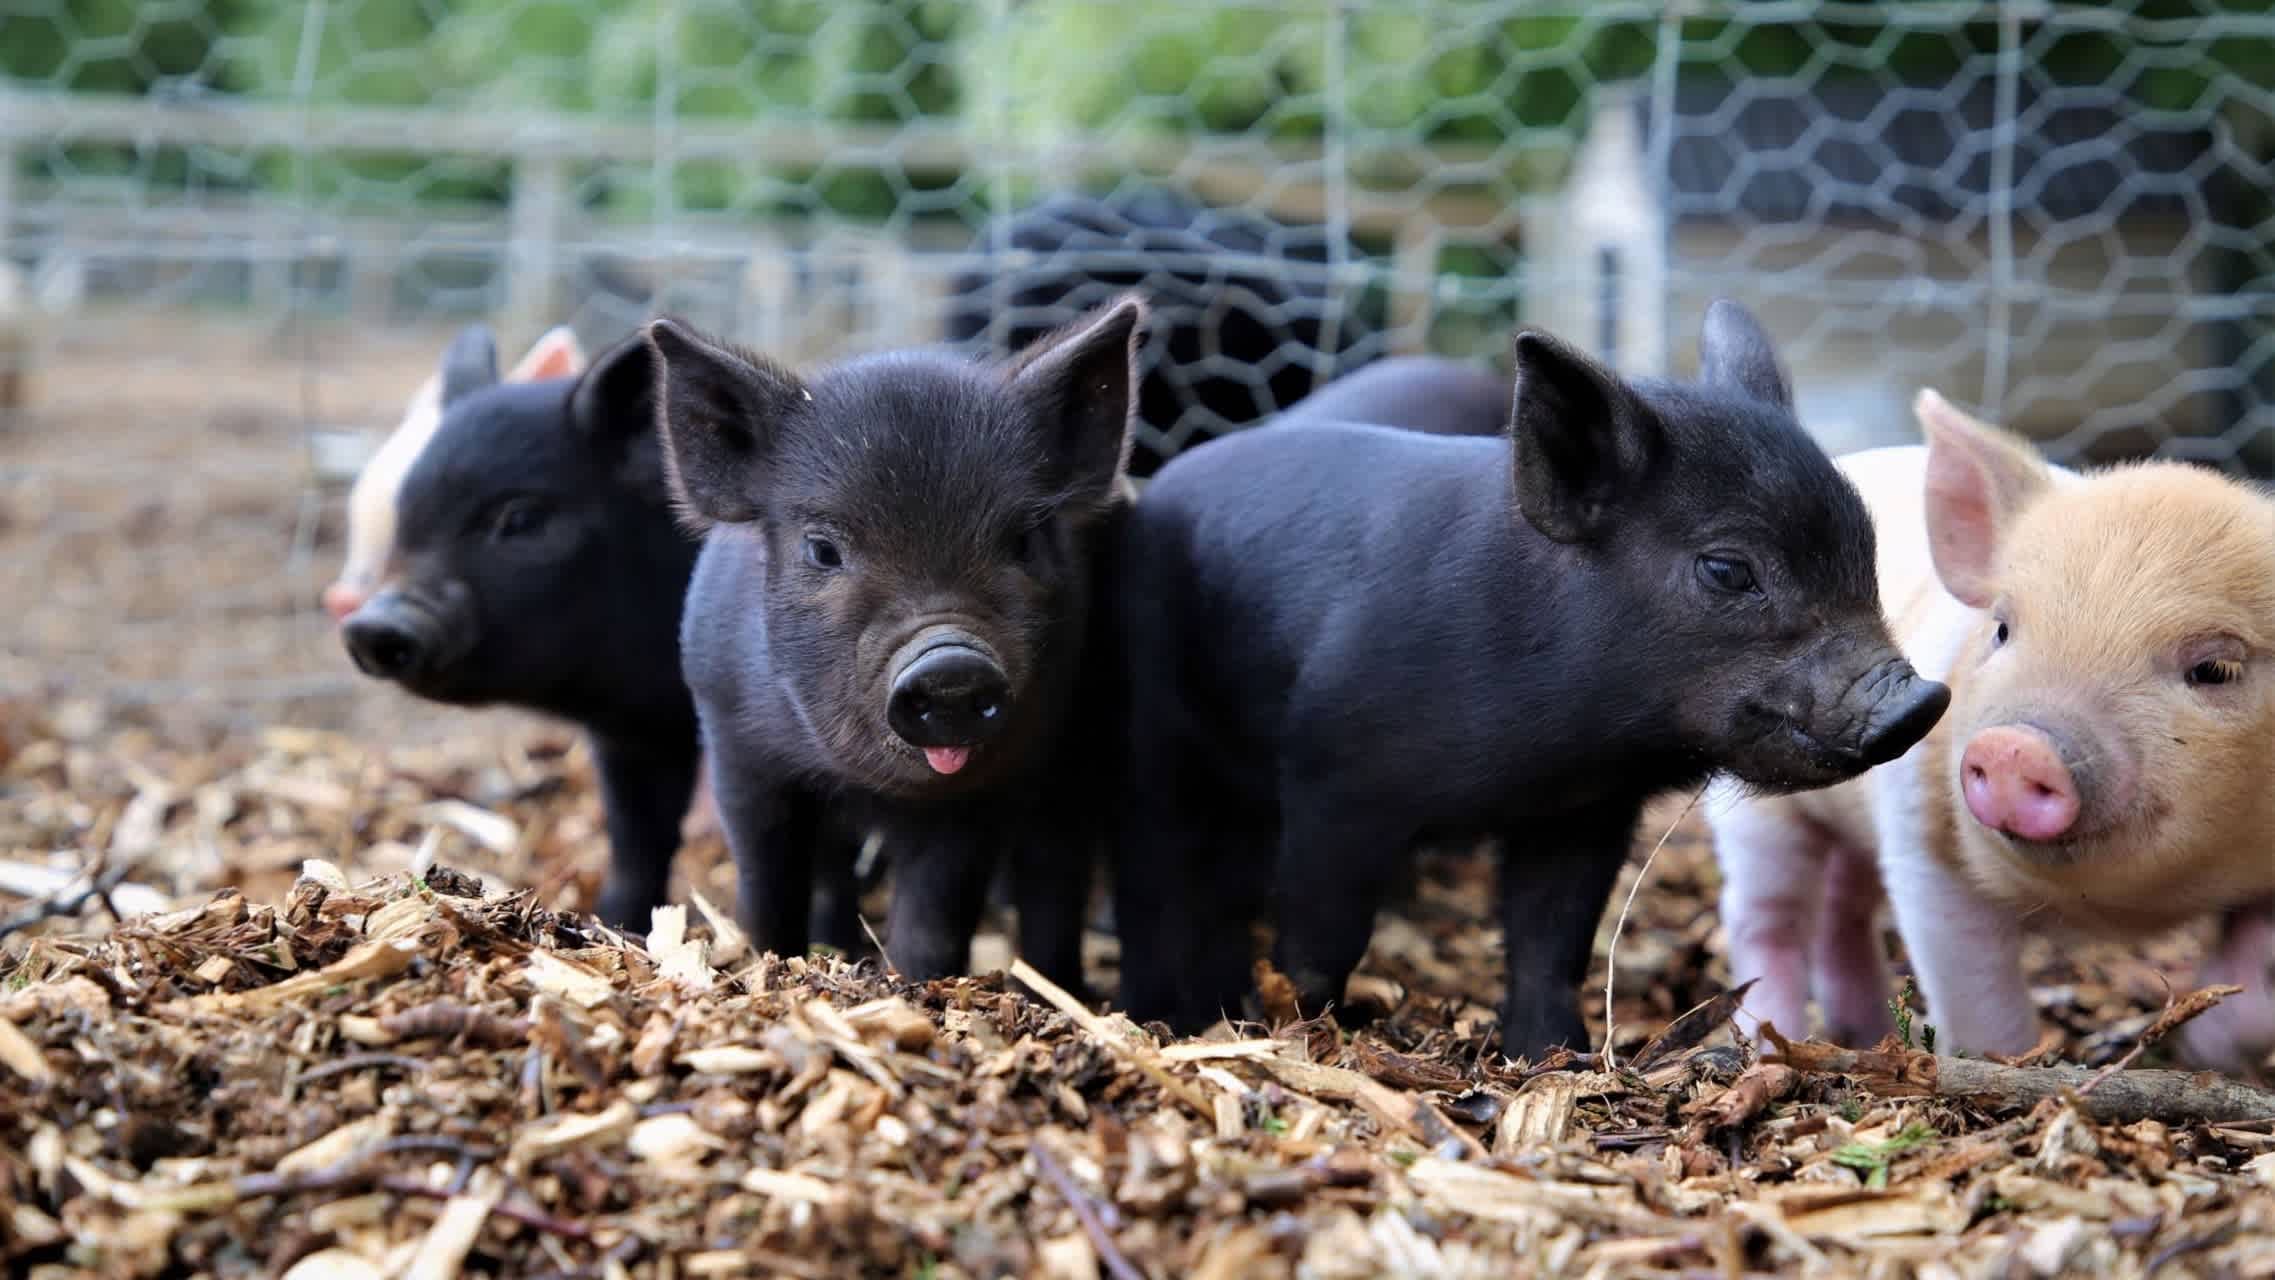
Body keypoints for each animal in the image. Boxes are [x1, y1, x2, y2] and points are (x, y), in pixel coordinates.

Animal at [646, 295, 1146, 990]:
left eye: (1024, 541)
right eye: (823, 549)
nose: (950, 663)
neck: (873, 788)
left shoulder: (986, 786)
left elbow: (936, 909)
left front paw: (916, 984)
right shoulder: (734, 741)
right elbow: (766, 877)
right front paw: (770, 959)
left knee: (1054, 876)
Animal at [1110, 300, 1950, 1054]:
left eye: (1865, 551)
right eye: (1726, 570)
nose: (1918, 701)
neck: (1540, 755)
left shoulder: (1582, 812)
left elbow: (1552, 940)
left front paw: (1554, 1056)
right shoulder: (1334, 777)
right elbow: (1322, 937)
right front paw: (1308, 1029)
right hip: (1151, 738)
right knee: (1156, 885)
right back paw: (1171, 1018)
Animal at [1706, 391, 2275, 1075]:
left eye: (2215, 668)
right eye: (2002, 629)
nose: (2014, 747)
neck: (2120, 908)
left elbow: (2258, 983)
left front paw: (2200, 1051)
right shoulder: (1922, 839)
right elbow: (1978, 996)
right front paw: (2006, 1066)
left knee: (1844, 913)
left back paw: (1864, 1036)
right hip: (1758, 809)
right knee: (1763, 917)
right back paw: (1776, 1044)